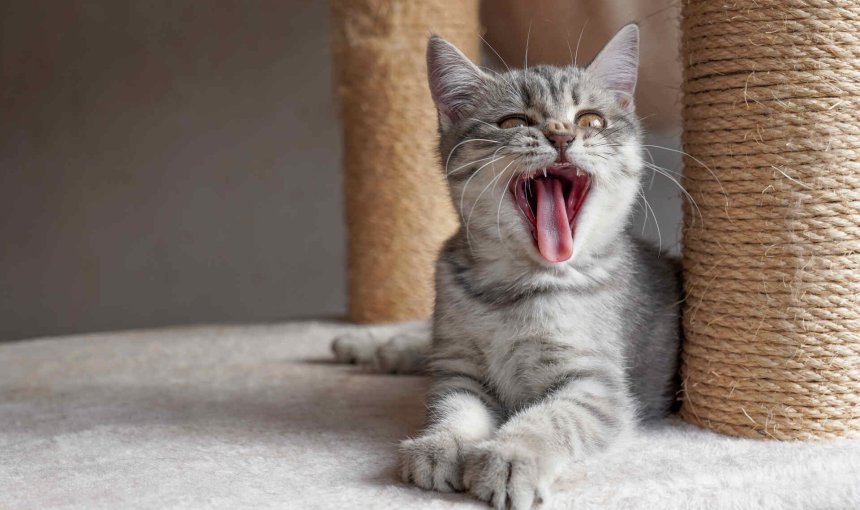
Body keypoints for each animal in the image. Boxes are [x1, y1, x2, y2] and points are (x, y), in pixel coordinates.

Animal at [332, 24, 680, 510]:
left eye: (591, 121)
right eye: (513, 122)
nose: (561, 135)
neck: (514, 290)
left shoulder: (596, 386)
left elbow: (550, 418)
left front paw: (510, 456)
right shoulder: (458, 368)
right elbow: (454, 408)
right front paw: (440, 444)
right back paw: (368, 344)